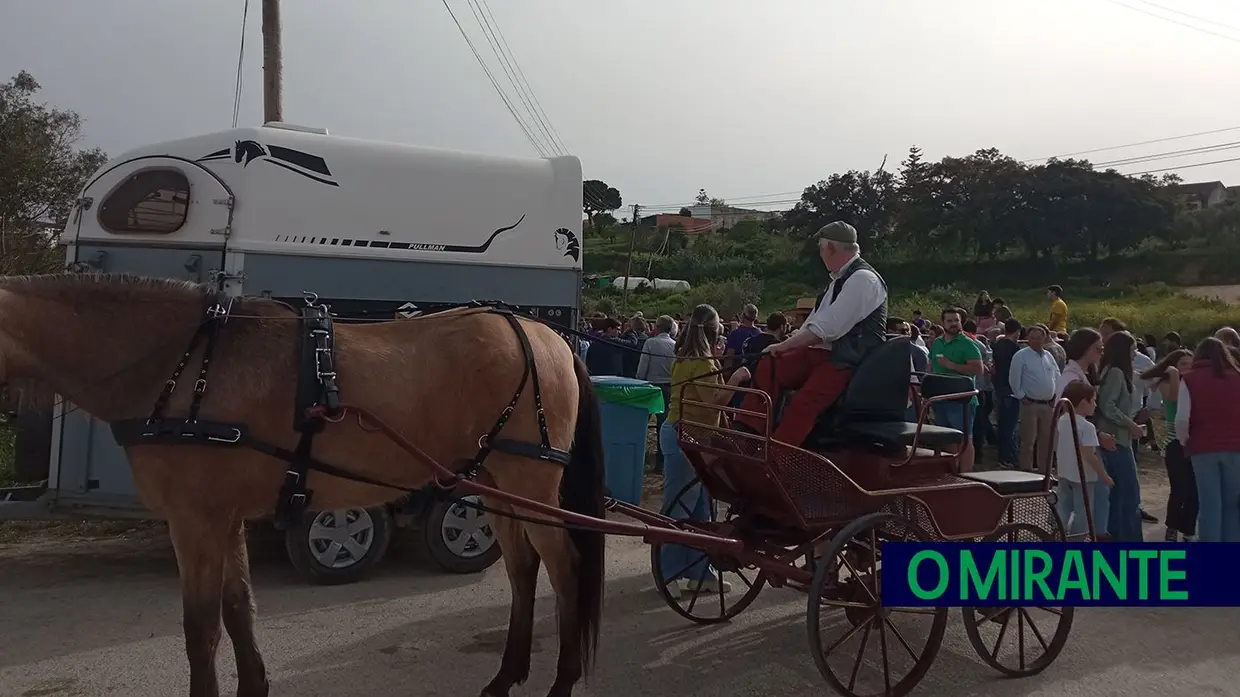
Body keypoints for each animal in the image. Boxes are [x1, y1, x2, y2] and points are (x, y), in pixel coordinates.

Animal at [0, 274, 605, 694]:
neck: (185, 366)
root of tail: (545, 334)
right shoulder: (224, 519)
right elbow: (238, 608)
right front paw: (254, 685)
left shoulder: (195, 521)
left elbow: (201, 630)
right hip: (495, 481)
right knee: (523, 570)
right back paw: (507, 675)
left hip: (530, 482)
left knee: (565, 567)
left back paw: (561, 680)